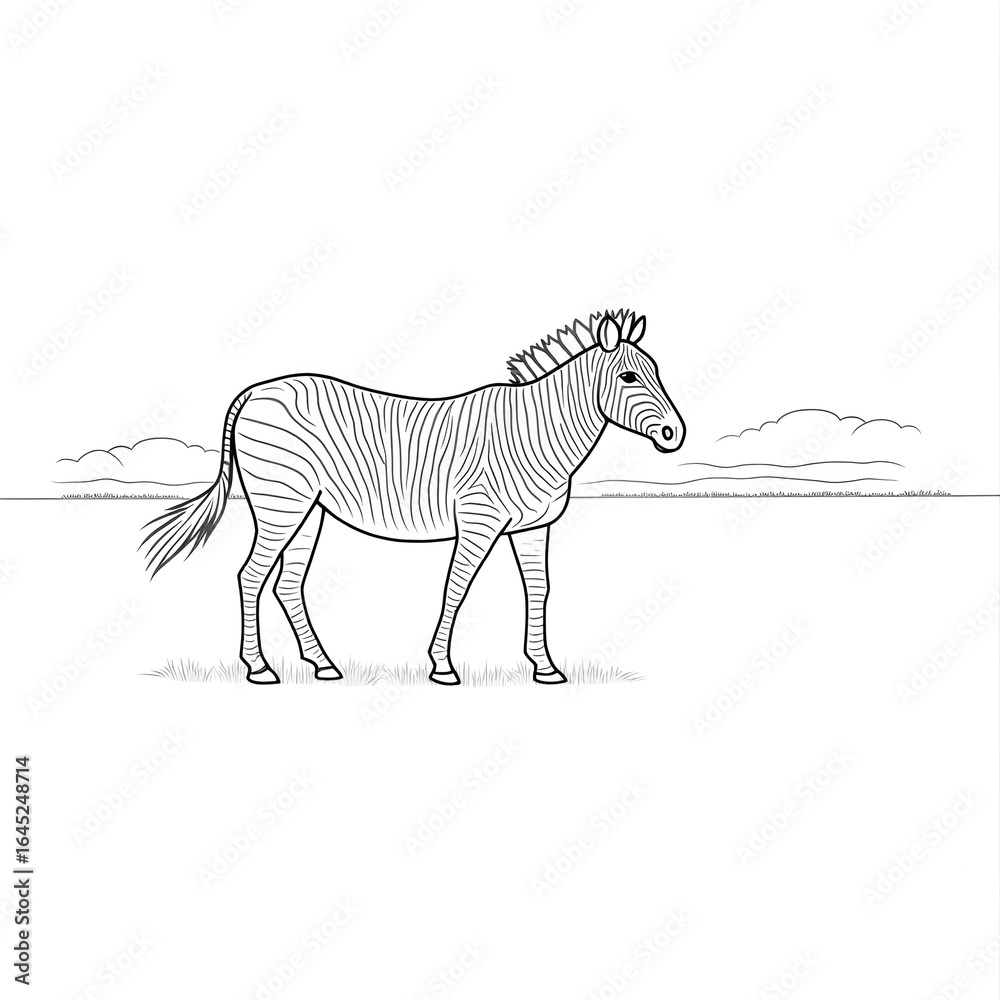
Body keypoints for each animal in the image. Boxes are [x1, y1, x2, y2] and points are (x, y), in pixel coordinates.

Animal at [140, 308, 685, 685]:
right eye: (629, 377)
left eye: (658, 371)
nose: (675, 435)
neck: (533, 432)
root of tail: (253, 391)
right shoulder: (478, 520)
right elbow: (455, 588)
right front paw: (442, 666)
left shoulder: (533, 527)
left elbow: (540, 591)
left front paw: (545, 667)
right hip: (282, 501)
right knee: (251, 576)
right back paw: (259, 669)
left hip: (309, 508)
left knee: (288, 583)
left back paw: (322, 664)